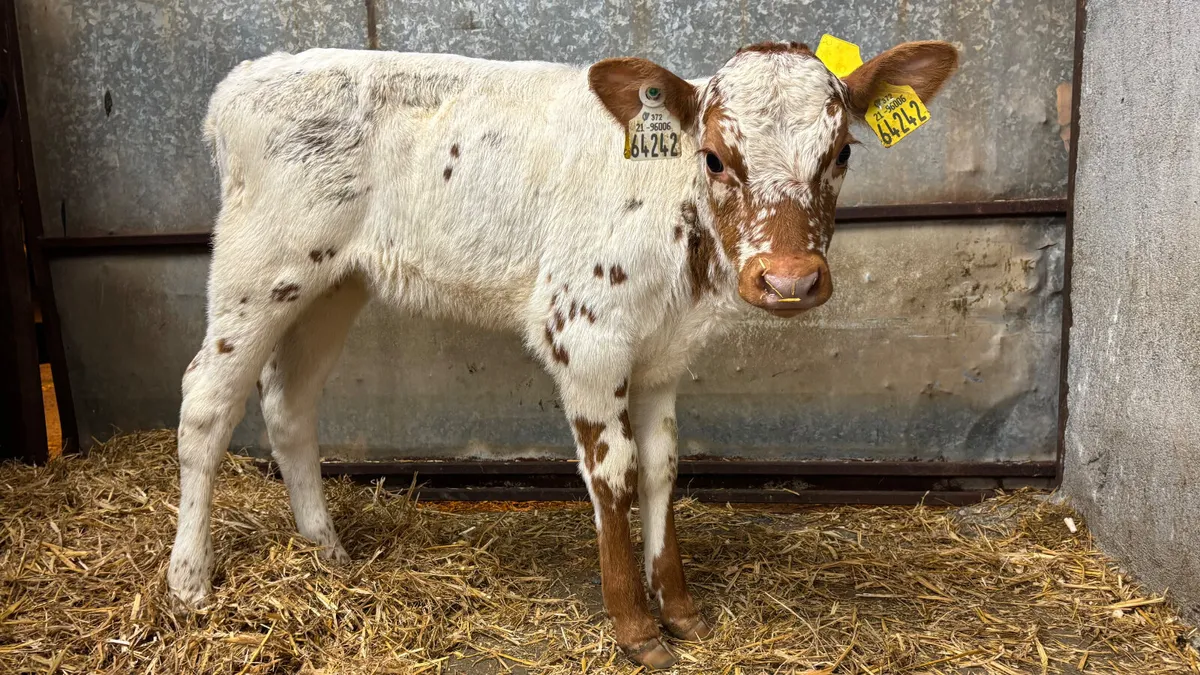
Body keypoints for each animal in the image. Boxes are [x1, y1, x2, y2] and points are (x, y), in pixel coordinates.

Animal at [168, 40, 957, 668]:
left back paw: (327, 551)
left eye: (842, 152)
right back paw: (189, 581)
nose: (789, 279)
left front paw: (681, 609)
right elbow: (614, 472)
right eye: (715, 157)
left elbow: (663, 463)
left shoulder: (664, 353)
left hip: (335, 281)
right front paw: (636, 627)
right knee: (206, 399)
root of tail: (248, 76)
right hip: (258, 265)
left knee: (289, 402)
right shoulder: (585, 331)